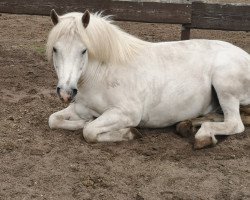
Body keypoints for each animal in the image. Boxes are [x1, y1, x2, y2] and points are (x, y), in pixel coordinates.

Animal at [46, 10, 250, 149]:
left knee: (235, 123)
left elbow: (89, 132)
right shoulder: (80, 108)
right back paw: (186, 126)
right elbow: (54, 120)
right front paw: (83, 122)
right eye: (55, 49)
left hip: (224, 87)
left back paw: (204, 136)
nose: (66, 92)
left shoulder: (127, 113)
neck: (102, 74)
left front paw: (129, 133)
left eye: (83, 50)